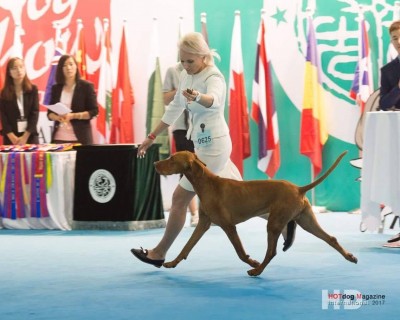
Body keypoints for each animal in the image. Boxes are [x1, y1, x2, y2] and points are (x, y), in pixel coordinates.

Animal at [155, 151, 358, 276]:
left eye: (172, 159)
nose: (156, 163)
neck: (206, 184)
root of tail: (299, 189)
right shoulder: (204, 224)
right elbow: (186, 247)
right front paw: (172, 263)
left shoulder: (228, 226)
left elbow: (240, 252)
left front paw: (252, 262)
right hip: (305, 220)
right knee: (331, 238)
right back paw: (350, 257)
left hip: (274, 223)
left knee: (272, 252)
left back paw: (257, 270)